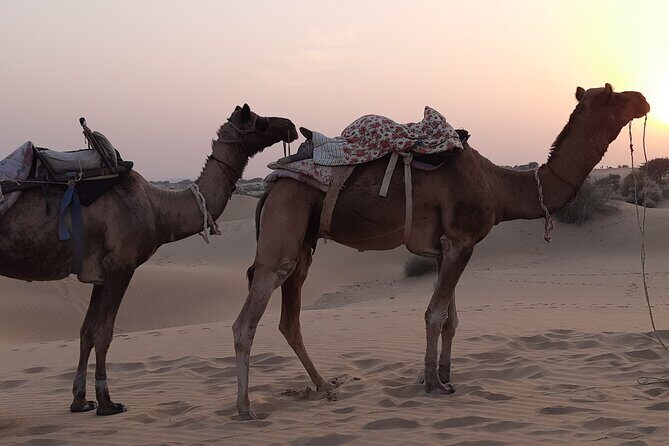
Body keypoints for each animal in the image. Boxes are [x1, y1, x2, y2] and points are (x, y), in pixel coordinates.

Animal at [0, 104, 297, 416]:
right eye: (258, 120)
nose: (290, 125)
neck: (158, 209)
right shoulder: (121, 266)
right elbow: (104, 331)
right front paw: (107, 402)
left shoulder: (100, 274)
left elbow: (86, 331)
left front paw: (80, 401)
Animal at [233, 84, 650, 419]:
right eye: (613, 94)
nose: (643, 99)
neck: (499, 187)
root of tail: (270, 185)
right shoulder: (461, 242)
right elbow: (434, 314)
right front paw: (433, 383)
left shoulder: (442, 249)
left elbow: (452, 319)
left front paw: (444, 375)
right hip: (284, 227)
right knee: (247, 318)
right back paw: (246, 408)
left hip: (303, 245)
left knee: (290, 319)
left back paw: (324, 386)